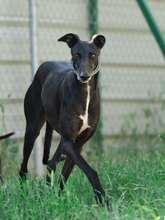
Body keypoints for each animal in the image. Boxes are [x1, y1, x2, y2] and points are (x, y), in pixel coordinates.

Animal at [19, 33, 109, 210]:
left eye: (92, 55)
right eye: (76, 55)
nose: (84, 76)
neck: (85, 94)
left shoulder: (77, 144)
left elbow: (65, 175)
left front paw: (57, 200)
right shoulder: (69, 142)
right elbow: (91, 171)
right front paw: (102, 199)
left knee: (51, 164)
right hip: (32, 129)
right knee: (24, 166)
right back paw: (23, 194)